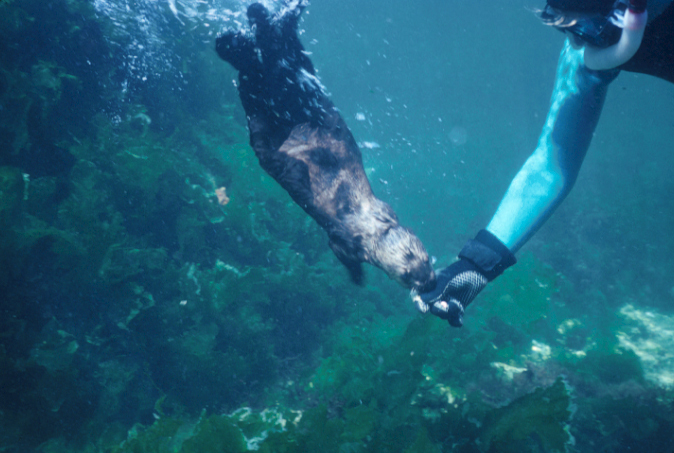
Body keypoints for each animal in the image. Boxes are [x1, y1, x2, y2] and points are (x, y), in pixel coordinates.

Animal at [216, 1, 435, 291]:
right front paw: (358, 278)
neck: (368, 222)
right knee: (269, 44)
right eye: (410, 271)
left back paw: (256, 22)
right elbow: (340, 251)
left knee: (264, 43)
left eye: (429, 261)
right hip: (279, 79)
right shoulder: (342, 238)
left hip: (270, 75)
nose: (430, 281)